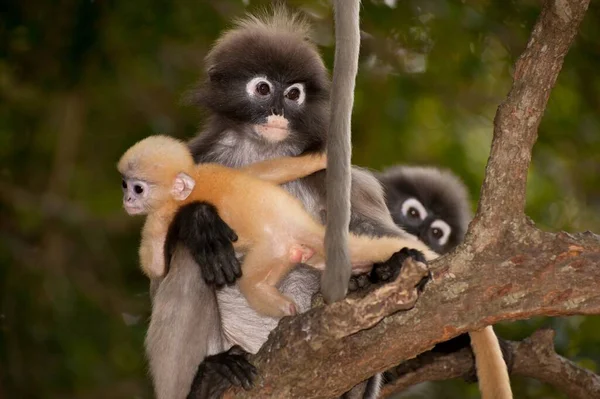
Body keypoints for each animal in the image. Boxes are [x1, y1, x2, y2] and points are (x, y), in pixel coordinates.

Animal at [118, 136, 436, 318]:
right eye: (124, 184)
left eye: (138, 188)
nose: (127, 199)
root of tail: (302, 224)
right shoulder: (212, 168)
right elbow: (263, 172)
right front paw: (320, 157)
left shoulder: (159, 217)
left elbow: (155, 266)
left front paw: (193, 221)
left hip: (274, 249)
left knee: (250, 282)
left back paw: (280, 305)